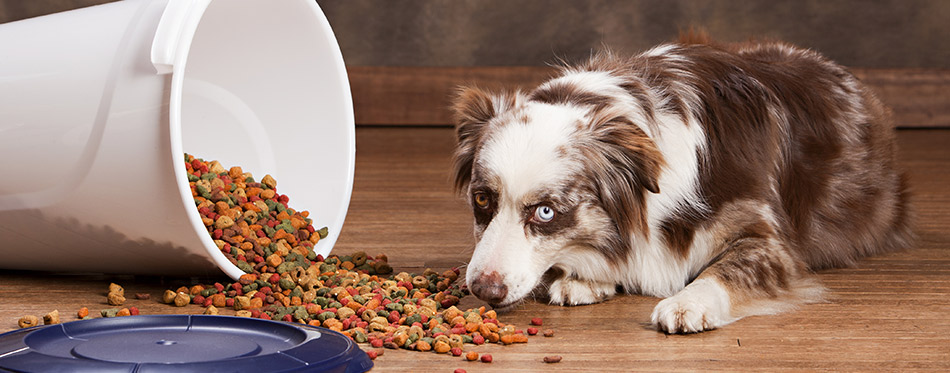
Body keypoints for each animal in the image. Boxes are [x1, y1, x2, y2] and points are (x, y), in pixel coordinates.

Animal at [454, 35, 916, 332]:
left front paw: (687, 303)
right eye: (482, 199)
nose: (482, 288)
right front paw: (585, 278)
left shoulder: (772, 241)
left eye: (546, 212)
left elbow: (729, 267)